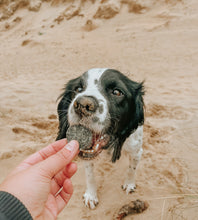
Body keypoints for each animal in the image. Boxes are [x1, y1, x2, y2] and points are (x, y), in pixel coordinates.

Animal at [55, 68, 144, 209]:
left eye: (117, 92)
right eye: (78, 89)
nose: (82, 105)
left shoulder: (136, 151)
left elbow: (132, 169)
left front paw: (129, 184)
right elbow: (90, 176)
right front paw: (91, 196)